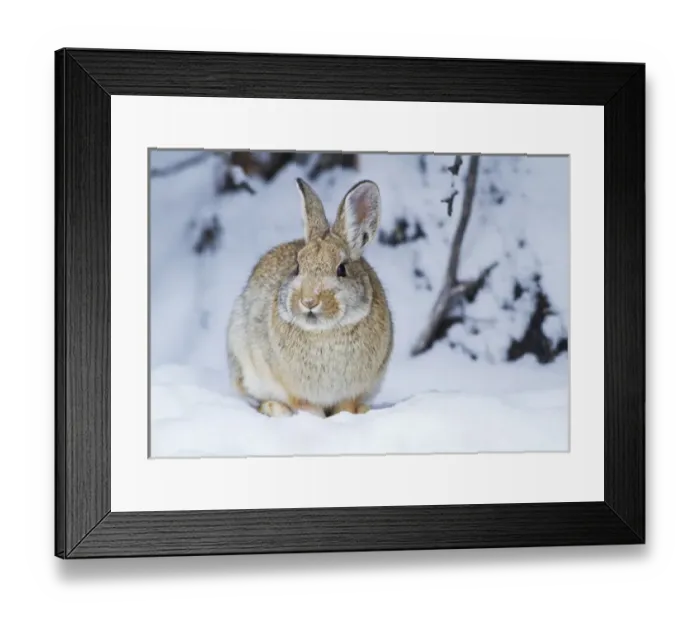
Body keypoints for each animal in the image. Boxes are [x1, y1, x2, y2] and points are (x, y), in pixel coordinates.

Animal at [226, 177, 393, 418]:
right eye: (297, 267)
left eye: (341, 269)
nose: (308, 301)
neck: (326, 331)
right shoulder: (296, 392)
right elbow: (307, 408)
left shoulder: (351, 392)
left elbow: (346, 407)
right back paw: (274, 409)